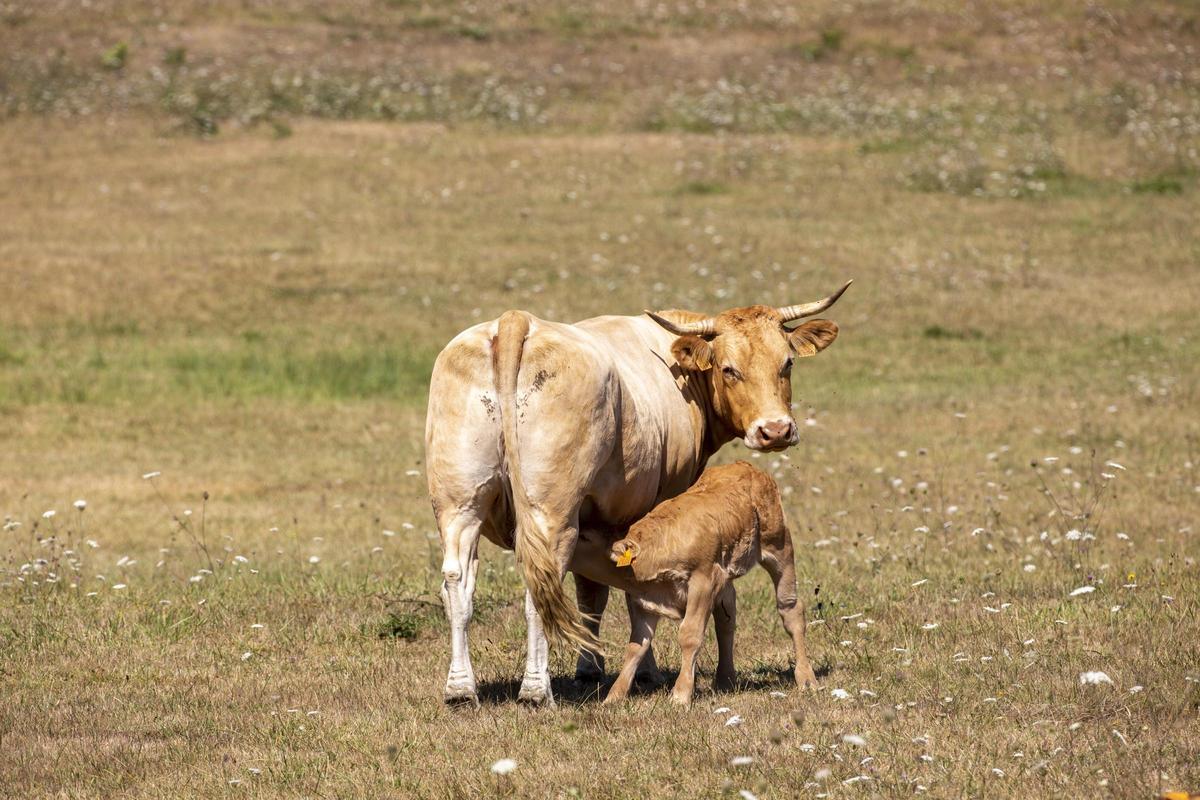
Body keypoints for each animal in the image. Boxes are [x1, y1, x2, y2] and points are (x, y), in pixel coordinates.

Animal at [568, 460, 815, 705]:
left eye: (585, 537)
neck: (661, 543)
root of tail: (747, 467)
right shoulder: (646, 601)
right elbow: (636, 646)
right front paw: (614, 696)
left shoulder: (704, 581)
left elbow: (690, 635)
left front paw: (681, 694)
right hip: (727, 578)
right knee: (726, 619)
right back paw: (725, 680)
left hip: (779, 546)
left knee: (790, 609)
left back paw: (806, 678)